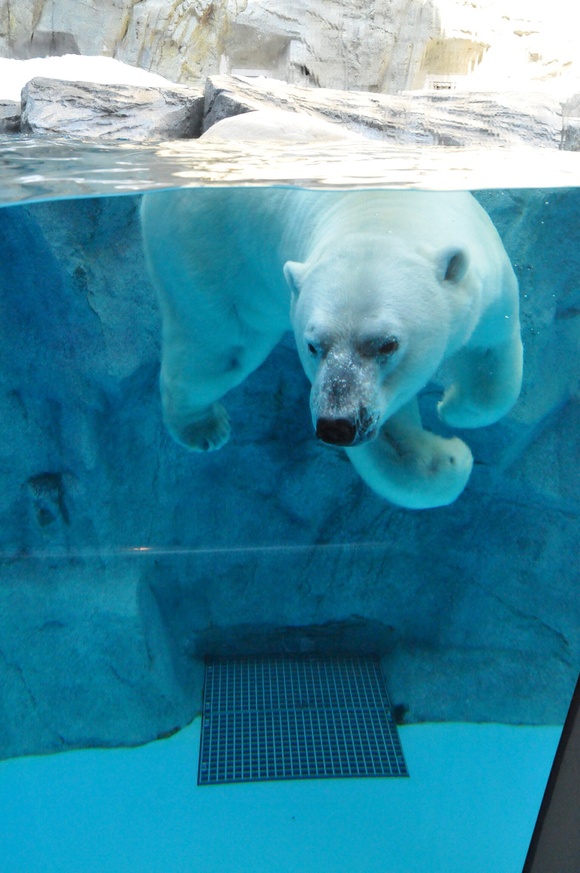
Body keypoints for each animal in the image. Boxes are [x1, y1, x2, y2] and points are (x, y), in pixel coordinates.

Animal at [143, 186, 524, 510]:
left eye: (387, 344)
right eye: (313, 346)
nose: (335, 425)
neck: (385, 214)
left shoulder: (489, 286)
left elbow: (493, 356)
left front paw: (452, 409)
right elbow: (386, 441)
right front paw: (455, 456)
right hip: (212, 257)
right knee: (220, 350)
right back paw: (205, 428)